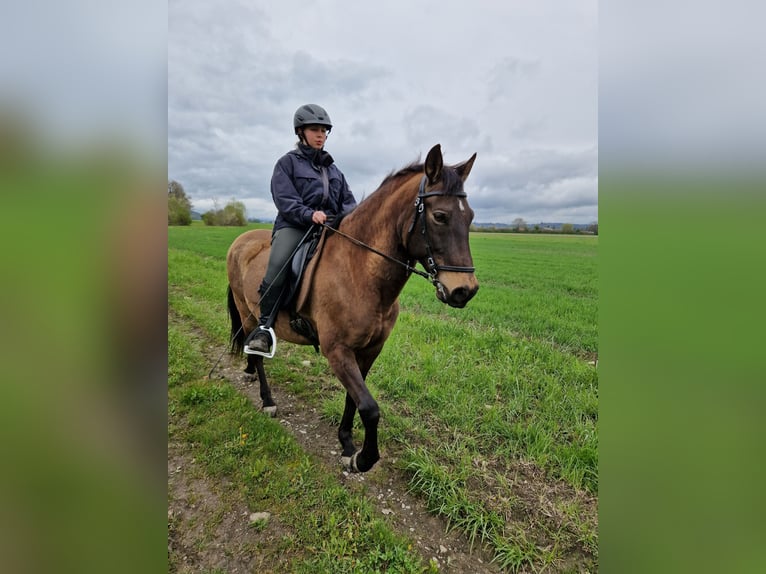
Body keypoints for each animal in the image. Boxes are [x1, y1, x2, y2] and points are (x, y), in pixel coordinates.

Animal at [226, 144, 479, 473]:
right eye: (440, 216)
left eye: (470, 217)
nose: (465, 290)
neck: (361, 274)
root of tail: (241, 240)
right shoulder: (337, 350)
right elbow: (370, 408)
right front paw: (363, 457)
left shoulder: (369, 350)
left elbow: (353, 399)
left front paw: (346, 443)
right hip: (247, 312)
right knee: (256, 350)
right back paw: (267, 400)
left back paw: (249, 374)